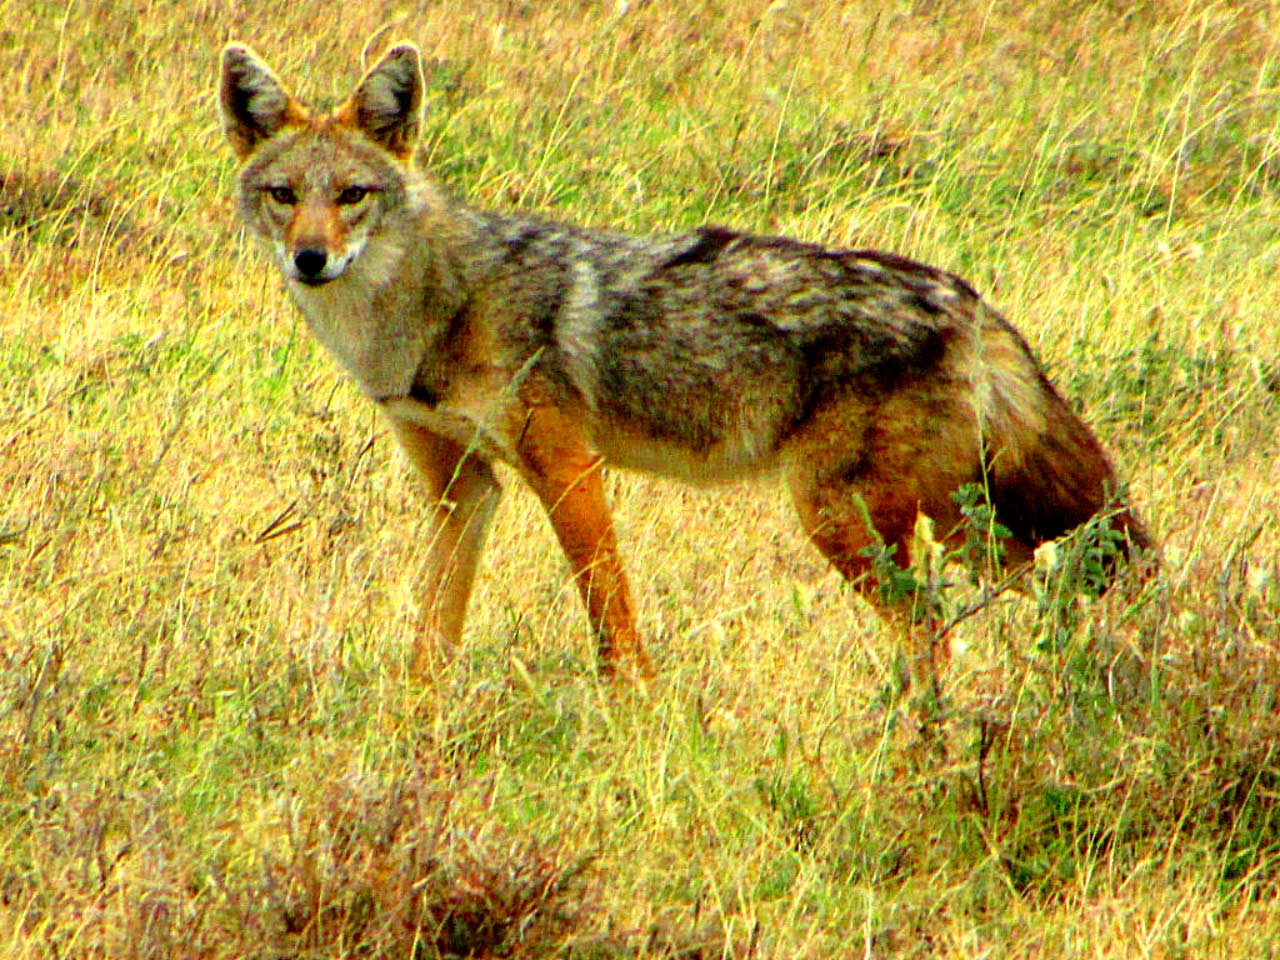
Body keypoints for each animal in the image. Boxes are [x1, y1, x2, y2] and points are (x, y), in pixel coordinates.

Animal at [219, 41, 1149, 683]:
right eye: (284, 196)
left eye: (352, 196)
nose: (310, 260)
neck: (434, 308)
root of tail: (968, 298)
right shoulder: (463, 492)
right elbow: (431, 639)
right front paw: (414, 731)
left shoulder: (568, 469)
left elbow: (612, 623)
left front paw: (633, 714)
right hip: (959, 524)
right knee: (1048, 591)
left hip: (846, 519)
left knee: (939, 632)